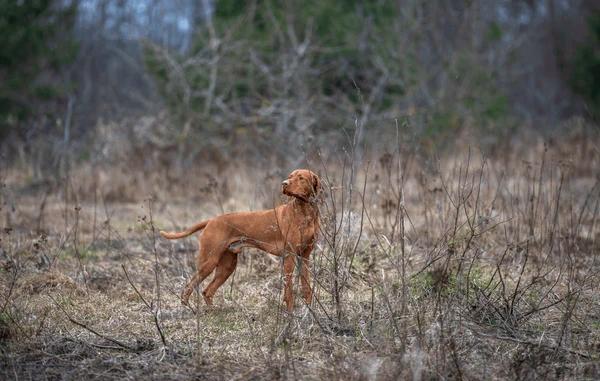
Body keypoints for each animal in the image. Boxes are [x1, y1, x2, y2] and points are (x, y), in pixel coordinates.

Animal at [158, 168, 318, 308]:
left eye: (301, 178)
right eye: (290, 176)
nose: (284, 183)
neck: (304, 212)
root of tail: (211, 220)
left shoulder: (304, 257)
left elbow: (306, 287)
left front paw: (309, 310)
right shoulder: (289, 257)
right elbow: (289, 291)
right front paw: (290, 314)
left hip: (227, 266)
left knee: (207, 291)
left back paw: (213, 311)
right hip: (209, 262)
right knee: (188, 287)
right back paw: (188, 309)